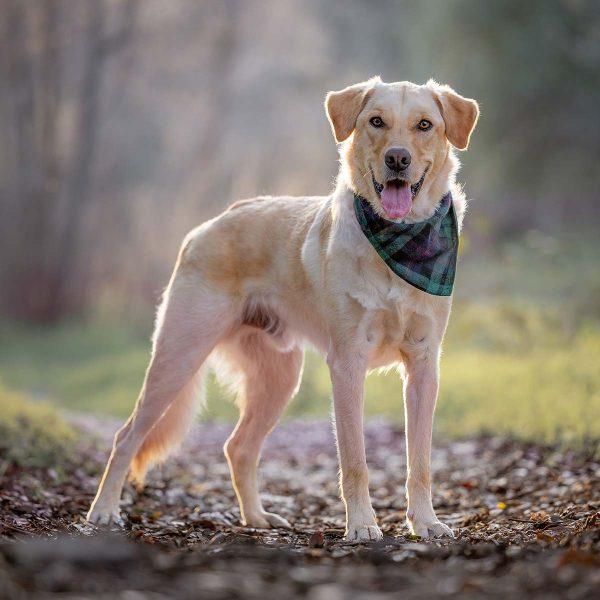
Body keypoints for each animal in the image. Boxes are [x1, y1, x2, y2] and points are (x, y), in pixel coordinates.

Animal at [88, 77, 478, 540]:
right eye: (376, 121)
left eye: (424, 125)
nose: (397, 159)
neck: (398, 243)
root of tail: (206, 227)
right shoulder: (347, 364)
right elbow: (355, 461)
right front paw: (362, 525)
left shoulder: (422, 367)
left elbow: (420, 462)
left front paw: (425, 521)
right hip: (178, 357)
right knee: (126, 436)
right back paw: (103, 511)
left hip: (279, 378)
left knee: (237, 447)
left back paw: (256, 518)